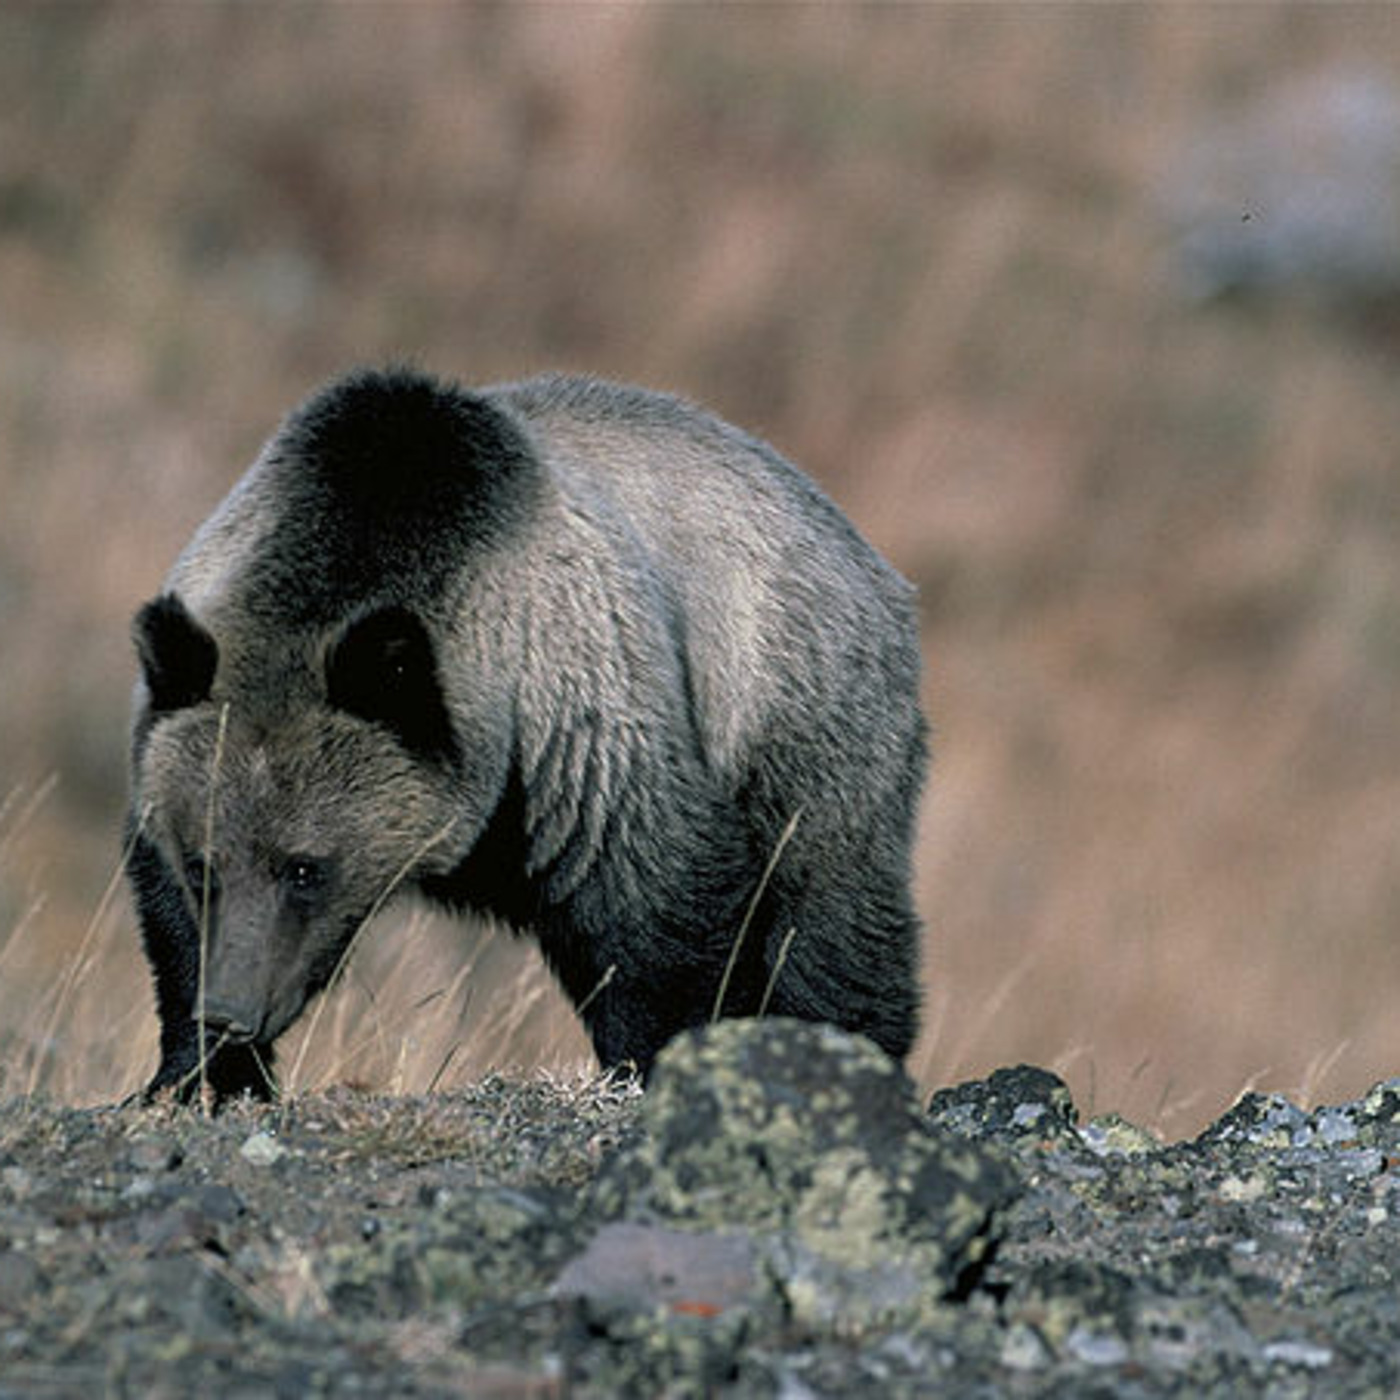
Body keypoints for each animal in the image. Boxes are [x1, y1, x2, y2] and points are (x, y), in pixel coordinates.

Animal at [125, 367, 927, 1103]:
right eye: (203, 863)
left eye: (304, 867)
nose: (232, 1012)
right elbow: (168, 924)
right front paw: (197, 1074)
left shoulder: (583, 720)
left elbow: (657, 909)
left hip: (797, 709)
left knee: (827, 914)